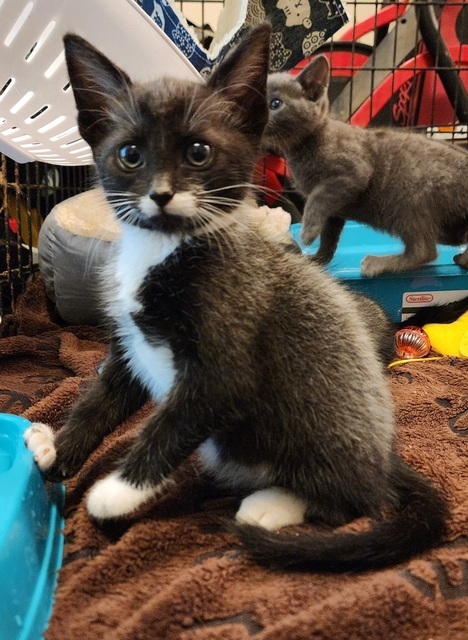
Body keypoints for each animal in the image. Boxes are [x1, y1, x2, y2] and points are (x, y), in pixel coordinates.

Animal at [262, 59, 468, 278]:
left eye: (275, 104)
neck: (306, 145)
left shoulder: (354, 172)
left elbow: (316, 199)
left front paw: (308, 233)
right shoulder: (335, 210)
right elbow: (329, 237)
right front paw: (318, 259)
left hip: (411, 200)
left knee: (424, 251)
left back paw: (379, 263)